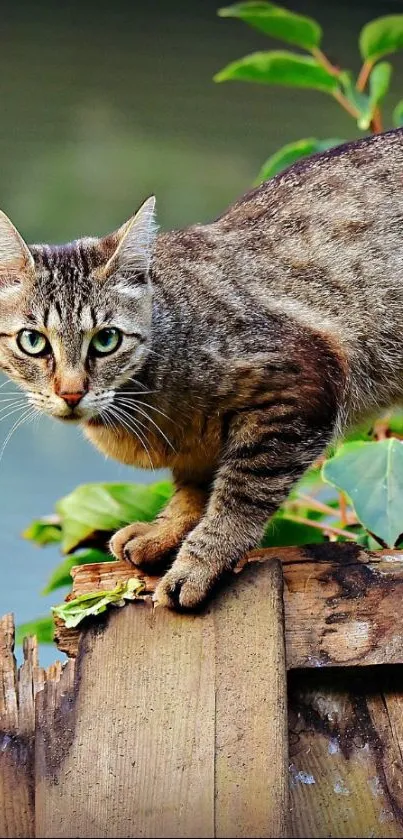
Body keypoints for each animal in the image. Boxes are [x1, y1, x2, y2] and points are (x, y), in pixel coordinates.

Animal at [0, 128, 403, 608]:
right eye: (33, 342)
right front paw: (165, 531)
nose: (71, 392)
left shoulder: (300, 387)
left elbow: (240, 493)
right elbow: (193, 487)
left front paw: (199, 562)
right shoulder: (198, 448)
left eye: (106, 339)